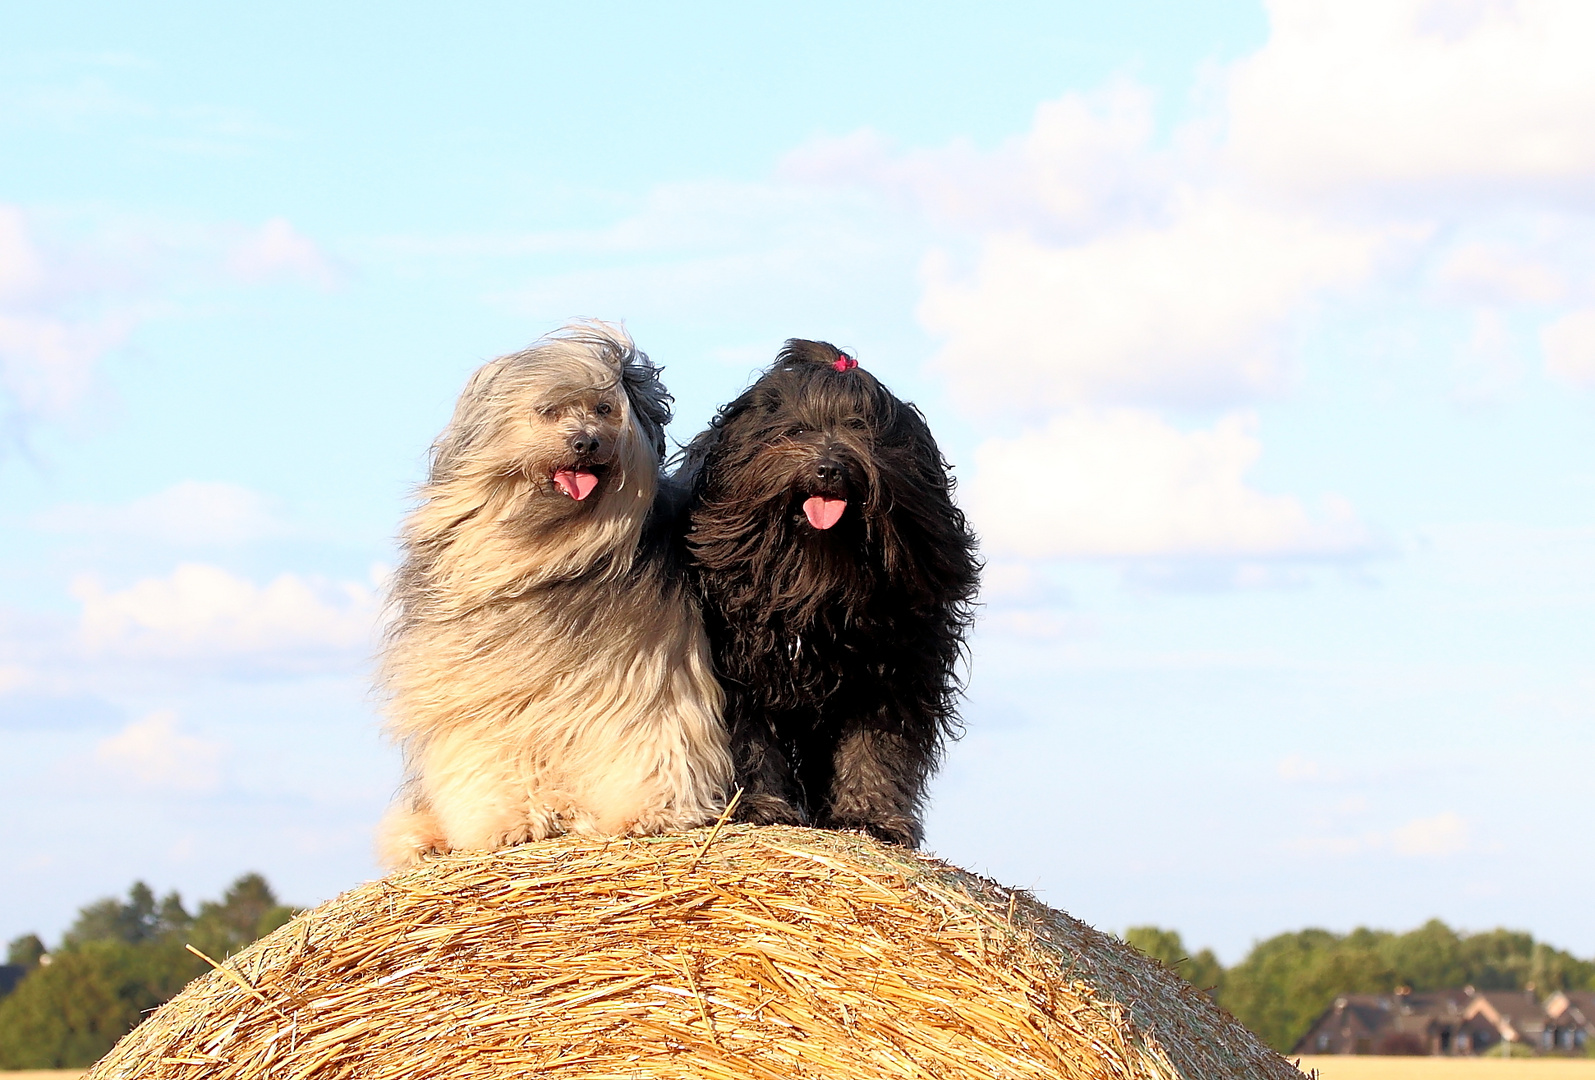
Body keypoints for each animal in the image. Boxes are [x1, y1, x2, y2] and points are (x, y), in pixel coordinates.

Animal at [379, 320, 733, 867]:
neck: (551, 554)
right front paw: (509, 822)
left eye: (605, 409)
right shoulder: (479, 689)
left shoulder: (647, 671)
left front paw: (649, 813)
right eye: (547, 411)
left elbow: (651, 735)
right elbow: (488, 752)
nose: (586, 443)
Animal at [669, 341, 969, 848]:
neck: (814, 578)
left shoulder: (893, 669)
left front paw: (871, 816)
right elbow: (747, 737)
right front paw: (758, 805)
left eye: (861, 430)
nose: (828, 468)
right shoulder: (733, 663)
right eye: (797, 431)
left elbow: (875, 745)